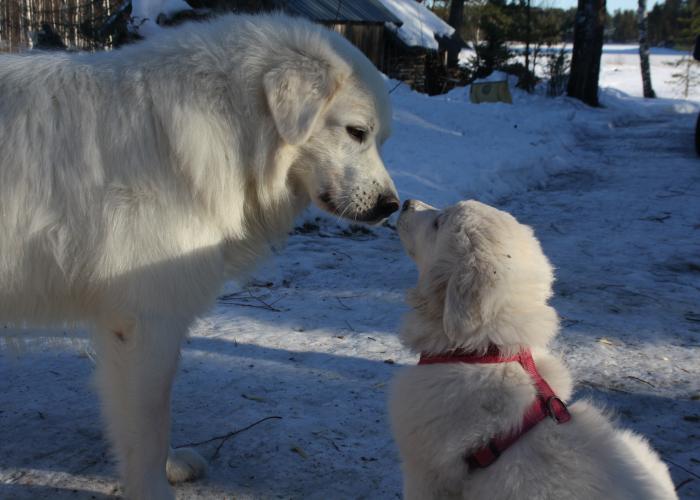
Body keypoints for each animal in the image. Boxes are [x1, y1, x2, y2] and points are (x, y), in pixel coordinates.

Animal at [0, 13, 400, 498]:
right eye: (357, 132)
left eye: (380, 138)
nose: (391, 206)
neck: (228, 126)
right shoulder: (147, 320)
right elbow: (150, 424)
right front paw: (153, 489)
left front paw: (167, 467)